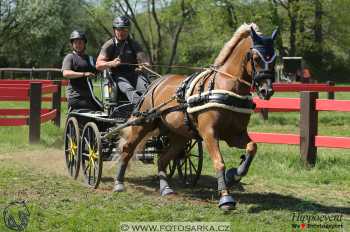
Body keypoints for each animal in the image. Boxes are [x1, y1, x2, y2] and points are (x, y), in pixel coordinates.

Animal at [113, 23, 278, 210]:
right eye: (256, 58)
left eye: (275, 58)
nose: (266, 90)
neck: (226, 88)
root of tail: (155, 83)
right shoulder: (209, 134)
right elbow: (219, 162)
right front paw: (226, 198)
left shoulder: (235, 135)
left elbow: (252, 147)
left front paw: (233, 175)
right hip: (144, 124)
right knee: (127, 149)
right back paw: (119, 184)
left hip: (179, 136)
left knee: (163, 159)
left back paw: (166, 188)